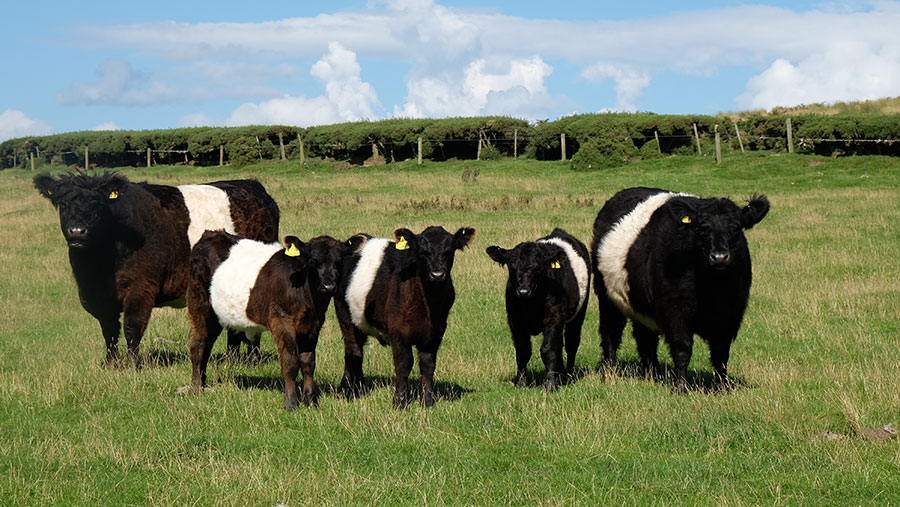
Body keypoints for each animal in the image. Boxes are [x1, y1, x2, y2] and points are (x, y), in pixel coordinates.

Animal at [32, 172, 278, 366]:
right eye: (63, 204)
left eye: (98, 204)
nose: (77, 231)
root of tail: (253, 185)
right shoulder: (98, 298)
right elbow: (109, 331)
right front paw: (111, 364)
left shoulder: (141, 287)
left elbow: (132, 327)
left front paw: (132, 365)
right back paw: (232, 359)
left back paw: (252, 359)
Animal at [187, 232, 348, 410]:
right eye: (313, 261)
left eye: (339, 262)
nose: (329, 286)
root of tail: (210, 235)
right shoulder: (281, 319)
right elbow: (290, 362)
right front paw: (291, 403)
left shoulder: (313, 325)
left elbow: (308, 362)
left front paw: (311, 401)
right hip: (199, 304)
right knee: (197, 343)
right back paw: (196, 388)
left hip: (216, 315)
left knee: (207, 345)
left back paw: (203, 382)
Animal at [336, 226, 478, 408]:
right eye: (422, 252)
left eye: (449, 251)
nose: (437, 274)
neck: (428, 304)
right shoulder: (398, 331)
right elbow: (404, 364)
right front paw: (400, 402)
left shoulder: (436, 332)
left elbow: (428, 364)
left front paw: (428, 401)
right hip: (345, 316)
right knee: (353, 350)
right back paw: (352, 391)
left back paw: (352, 388)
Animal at [486, 228, 592, 390]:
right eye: (512, 267)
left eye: (538, 268)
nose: (523, 291)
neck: (531, 305)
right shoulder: (515, 320)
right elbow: (523, 351)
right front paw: (520, 383)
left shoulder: (555, 316)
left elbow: (548, 349)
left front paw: (550, 384)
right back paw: (561, 373)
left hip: (579, 314)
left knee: (571, 343)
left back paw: (568, 375)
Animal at [592, 189, 768, 390]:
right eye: (702, 228)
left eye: (736, 228)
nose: (719, 257)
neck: (713, 289)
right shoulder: (675, 311)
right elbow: (683, 348)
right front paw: (681, 387)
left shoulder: (731, 315)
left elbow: (721, 353)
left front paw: (723, 386)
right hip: (606, 296)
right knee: (611, 332)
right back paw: (609, 372)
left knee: (645, 338)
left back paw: (654, 374)